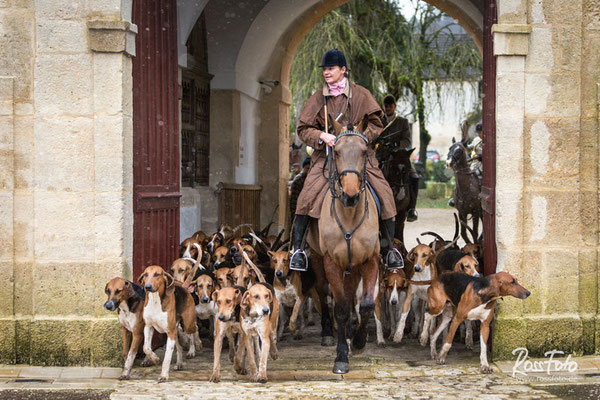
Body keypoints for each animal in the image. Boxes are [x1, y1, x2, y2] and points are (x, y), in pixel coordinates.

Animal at [304, 115, 380, 376]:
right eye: (335, 152)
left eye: (364, 151)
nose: (350, 195)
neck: (349, 214)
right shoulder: (331, 262)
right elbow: (340, 308)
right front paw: (341, 357)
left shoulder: (369, 261)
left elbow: (365, 304)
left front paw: (358, 342)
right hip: (317, 260)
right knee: (324, 293)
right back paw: (329, 333)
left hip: (353, 269)